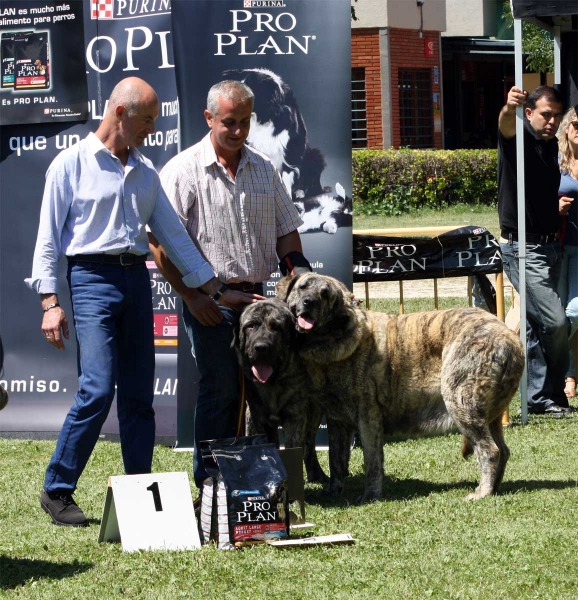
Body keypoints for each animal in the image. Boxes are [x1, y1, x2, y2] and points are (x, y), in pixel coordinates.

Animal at [233, 298, 324, 486]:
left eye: (276, 327)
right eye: (250, 326)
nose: (261, 347)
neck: (272, 383)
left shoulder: (296, 417)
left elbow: (294, 449)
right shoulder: (255, 417)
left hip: (314, 413)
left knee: (309, 444)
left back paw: (316, 473)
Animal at [276, 272, 524, 502]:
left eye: (325, 294)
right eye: (302, 287)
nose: (309, 302)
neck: (334, 338)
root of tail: (511, 339)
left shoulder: (368, 416)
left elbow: (372, 461)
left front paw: (371, 495)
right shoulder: (337, 420)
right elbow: (336, 460)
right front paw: (334, 490)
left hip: (460, 401)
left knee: (489, 451)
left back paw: (482, 492)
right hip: (489, 414)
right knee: (502, 450)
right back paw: (494, 488)